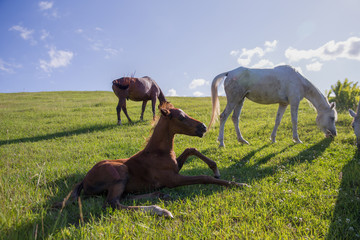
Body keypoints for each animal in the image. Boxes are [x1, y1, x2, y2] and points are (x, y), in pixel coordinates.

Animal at [54, 102, 249, 218]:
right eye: (181, 117)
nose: (202, 127)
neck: (157, 152)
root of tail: (84, 179)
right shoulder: (173, 179)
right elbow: (203, 178)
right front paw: (239, 184)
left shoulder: (176, 167)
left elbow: (190, 149)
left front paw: (215, 169)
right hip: (120, 172)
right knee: (112, 203)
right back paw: (160, 209)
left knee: (124, 197)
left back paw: (160, 195)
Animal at [208, 64, 338, 146]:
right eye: (332, 117)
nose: (334, 134)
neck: (299, 81)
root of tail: (229, 73)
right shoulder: (294, 102)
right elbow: (294, 120)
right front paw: (297, 140)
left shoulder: (283, 104)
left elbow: (277, 121)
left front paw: (273, 139)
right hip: (233, 100)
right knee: (223, 117)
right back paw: (221, 143)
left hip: (240, 100)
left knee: (235, 118)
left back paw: (242, 140)